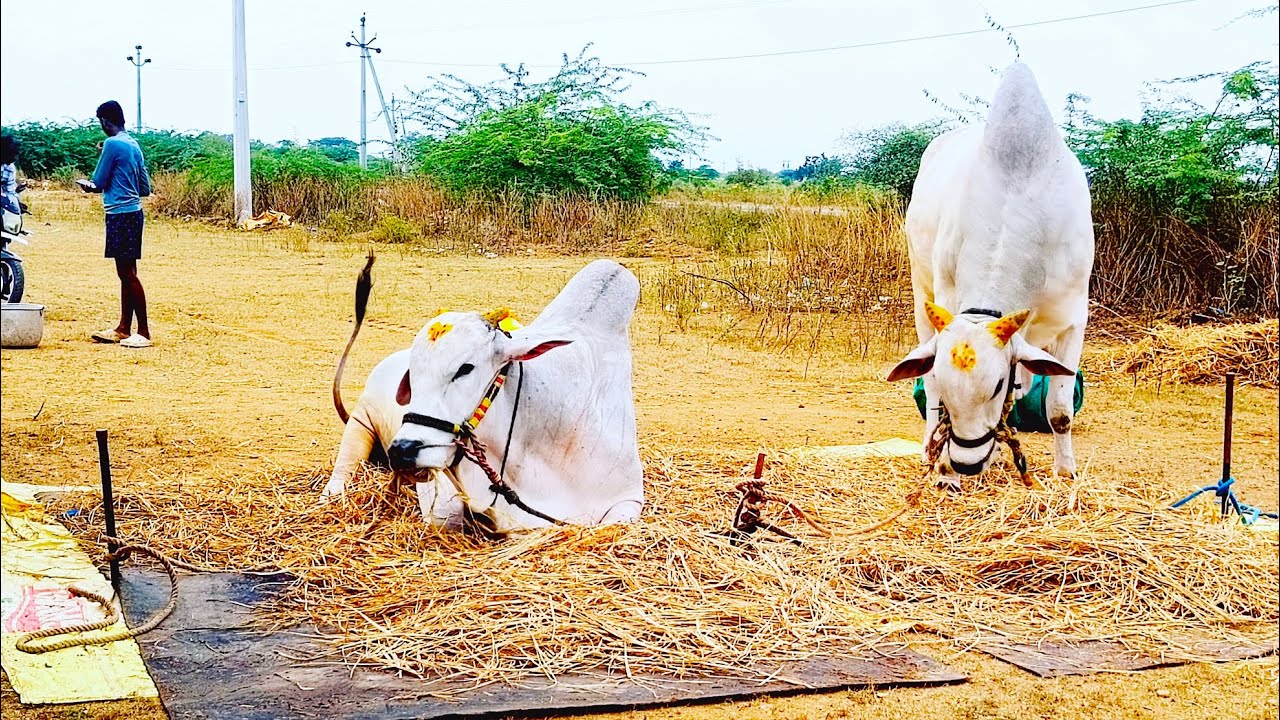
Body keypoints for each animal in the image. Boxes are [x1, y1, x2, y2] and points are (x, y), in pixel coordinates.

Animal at [886, 63, 1093, 487]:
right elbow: (937, 394)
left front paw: (1065, 472)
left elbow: (1060, 410)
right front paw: (946, 471)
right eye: (950, 385)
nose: (966, 463)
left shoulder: (1073, 320)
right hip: (920, 294)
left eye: (997, 383)